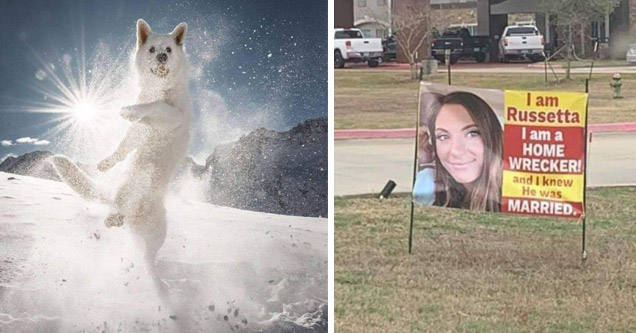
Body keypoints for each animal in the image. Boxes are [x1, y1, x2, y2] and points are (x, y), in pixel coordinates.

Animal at [51, 18, 191, 288]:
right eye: (152, 49)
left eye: (168, 50)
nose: (161, 57)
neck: (159, 88)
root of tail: (125, 207)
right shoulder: (138, 133)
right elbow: (124, 145)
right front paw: (106, 163)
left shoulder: (174, 117)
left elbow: (154, 106)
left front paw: (131, 110)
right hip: (134, 203)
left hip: (158, 230)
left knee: (148, 260)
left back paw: (161, 286)